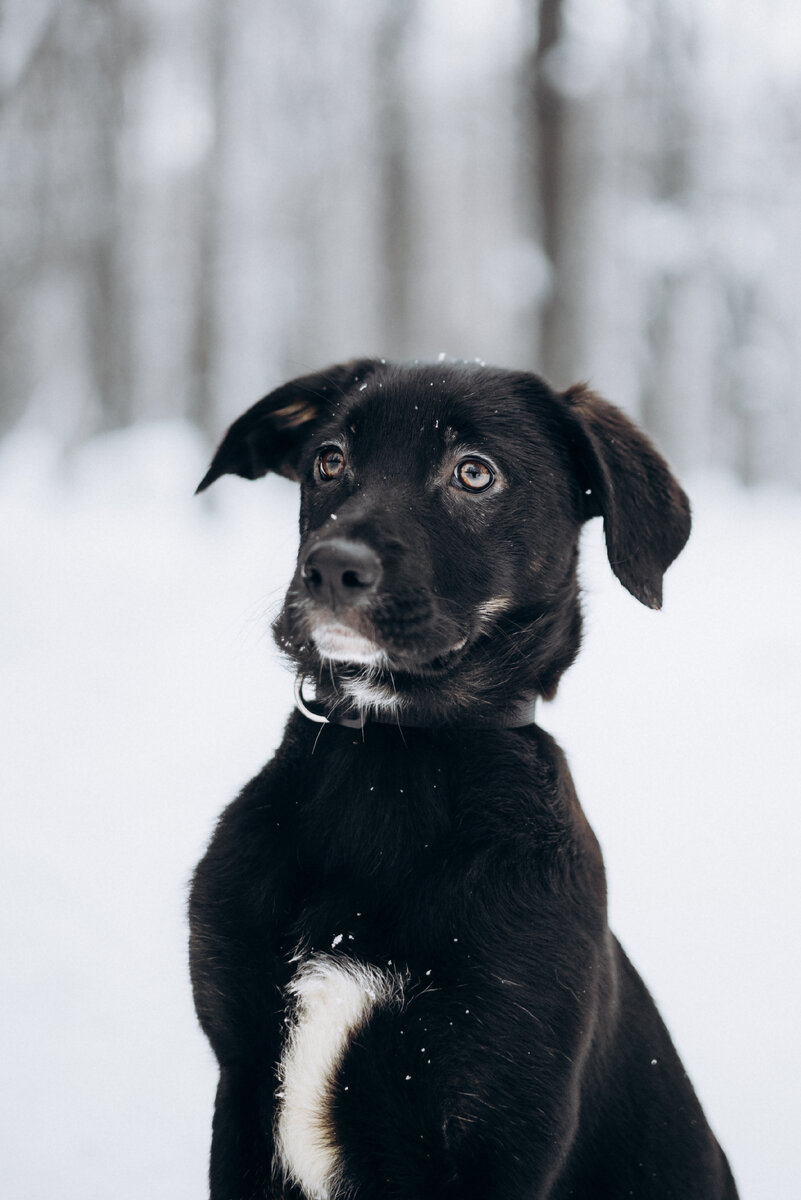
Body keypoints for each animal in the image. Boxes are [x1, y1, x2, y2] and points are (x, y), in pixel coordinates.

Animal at [189, 360, 738, 1195]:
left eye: (474, 473)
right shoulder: (242, 1078)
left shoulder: (499, 1125)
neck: (394, 757)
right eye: (328, 460)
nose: (330, 567)